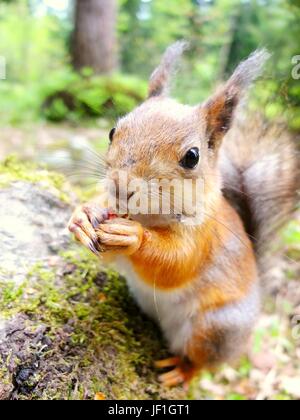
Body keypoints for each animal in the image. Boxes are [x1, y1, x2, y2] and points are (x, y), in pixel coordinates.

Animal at [68, 42, 300, 388]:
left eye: (192, 157)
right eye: (112, 131)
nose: (121, 187)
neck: (147, 217)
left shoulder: (201, 238)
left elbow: (175, 262)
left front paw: (133, 236)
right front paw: (82, 216)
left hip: (216, 328)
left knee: (205, 363)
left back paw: (181, 369)